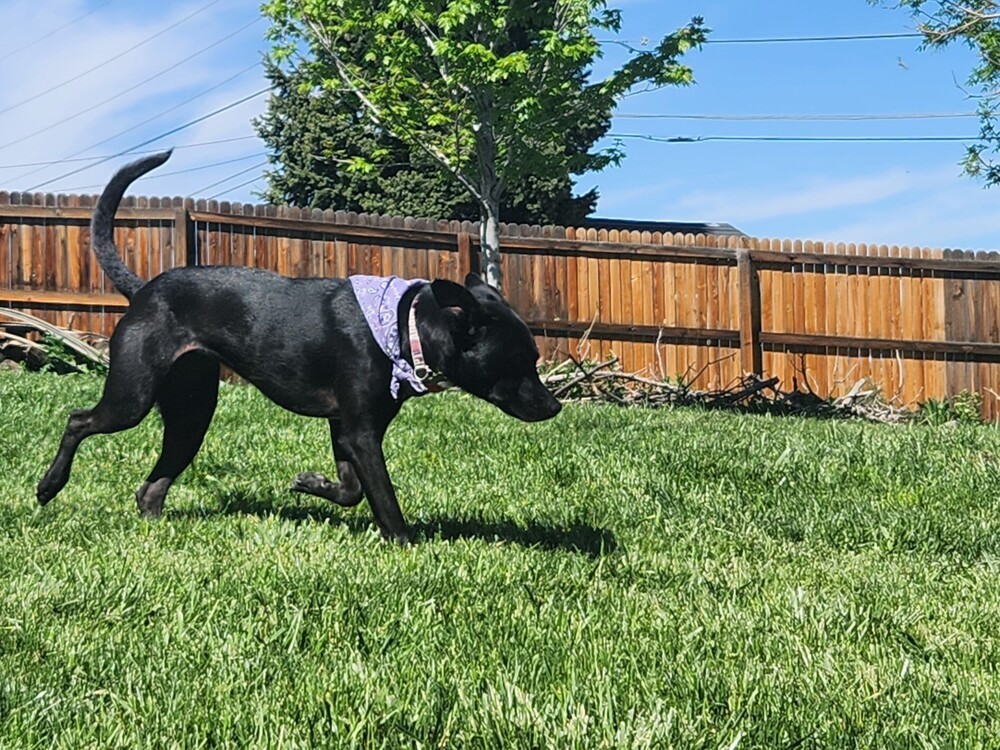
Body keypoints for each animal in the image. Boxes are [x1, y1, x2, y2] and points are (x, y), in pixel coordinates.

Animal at [35, 150, 560, 544]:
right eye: (522, 361)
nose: (555, 406)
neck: (402, 324)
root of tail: (143, 289)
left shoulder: (346, 429)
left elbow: (351, 489)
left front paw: (311, 483)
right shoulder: (361, 433)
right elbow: (383, 498)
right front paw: (406, 543)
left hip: (191, 412)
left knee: (152, 484)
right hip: (133, 394)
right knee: (78, 420)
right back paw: (48, 486)